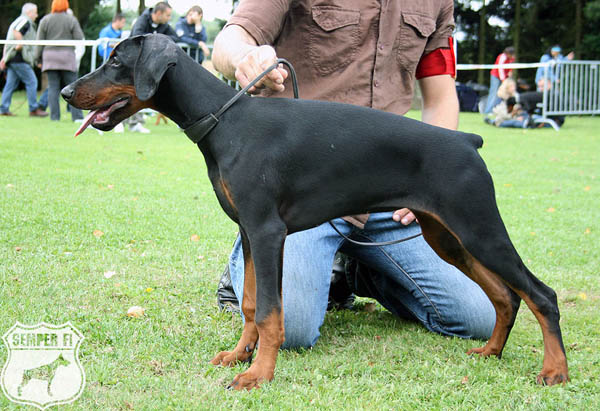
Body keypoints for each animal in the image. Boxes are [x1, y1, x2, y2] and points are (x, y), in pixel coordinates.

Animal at [61, 34, 569, 390]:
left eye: (116, 60)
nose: (66, 91)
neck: (224, 121)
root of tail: (468, 140)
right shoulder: (250, 232)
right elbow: (250, 304)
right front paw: (239, 356)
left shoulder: (267, 231)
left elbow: (271, 311)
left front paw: (258, 375)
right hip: (446, 235)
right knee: (504, 296)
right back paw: (491, 352)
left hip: (479, 227)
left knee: (541, 294)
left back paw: (555, 371)